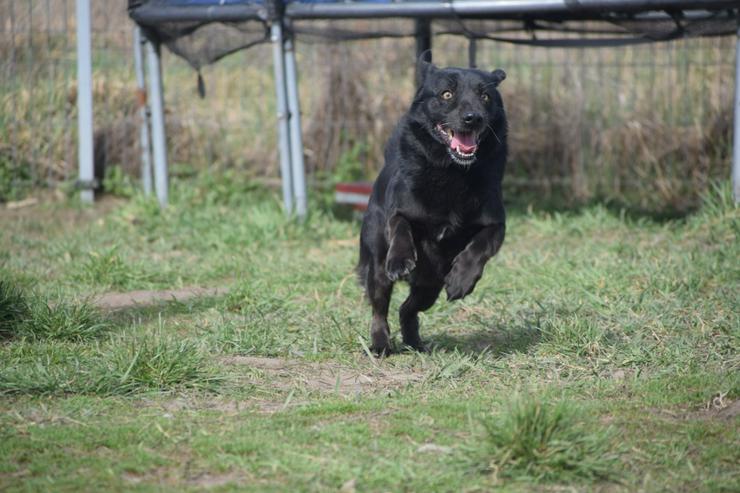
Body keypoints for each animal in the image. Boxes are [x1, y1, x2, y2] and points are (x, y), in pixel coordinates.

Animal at [358, 60, 508, 354]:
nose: (473, 117)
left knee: (407, 309)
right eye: (446, 94)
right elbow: (401, 226)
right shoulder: (399, 213)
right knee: (380, 309)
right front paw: (401, 260)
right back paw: (381, 345)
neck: (453, 173)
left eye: (485, 96)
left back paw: (415, 343)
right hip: (378, 269)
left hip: (431, 285)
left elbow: (480, 246)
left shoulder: (496, 225)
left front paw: (462, 279)